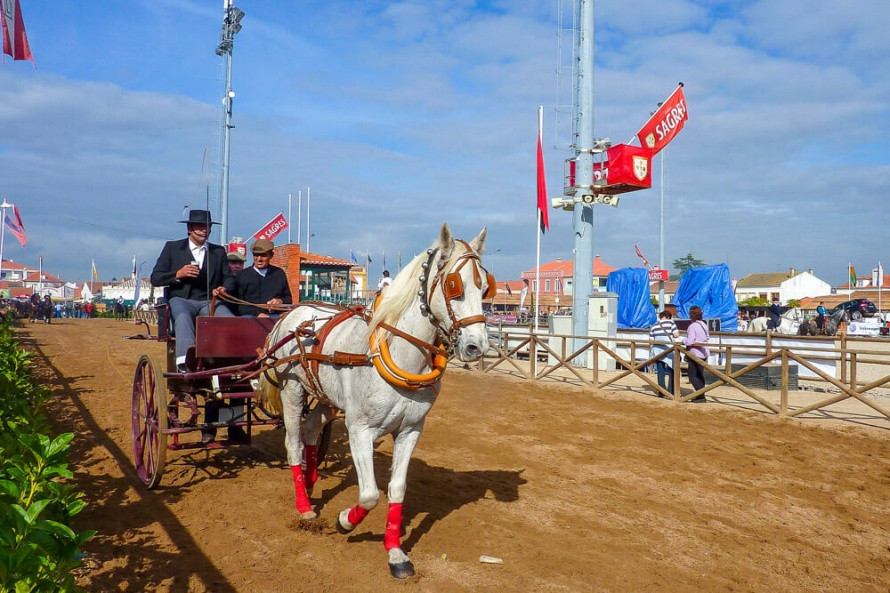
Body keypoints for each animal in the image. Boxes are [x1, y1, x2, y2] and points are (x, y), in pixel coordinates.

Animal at [256, 223, 492, 580]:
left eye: (485, 287)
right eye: (454, 286)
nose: (477, 346)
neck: (398, 355)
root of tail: (293, 312)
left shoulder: (410, 430)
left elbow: (396, 489)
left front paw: (395, 552)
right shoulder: (360, 430)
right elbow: (369, 495)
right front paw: (344, 521)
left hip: (325, 396)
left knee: (312, 429)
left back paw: (311, 484)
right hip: (292, 391)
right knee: (294, 444)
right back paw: (304, 506)